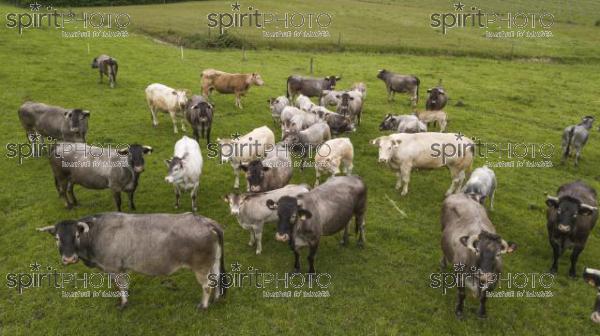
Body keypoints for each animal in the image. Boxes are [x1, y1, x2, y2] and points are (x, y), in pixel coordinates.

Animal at [36, 213, 226, 310]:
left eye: (76, 235)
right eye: (57, 238)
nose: (69, 258)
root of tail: (206, 221)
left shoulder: (113, 268)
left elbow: (120, 287)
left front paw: (123, 303)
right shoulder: (121, 268)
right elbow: (125, 285)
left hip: (201, 266)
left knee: (207, 285)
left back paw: (203, 306)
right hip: (214, 261)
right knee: (216, 279)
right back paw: (216, 299)